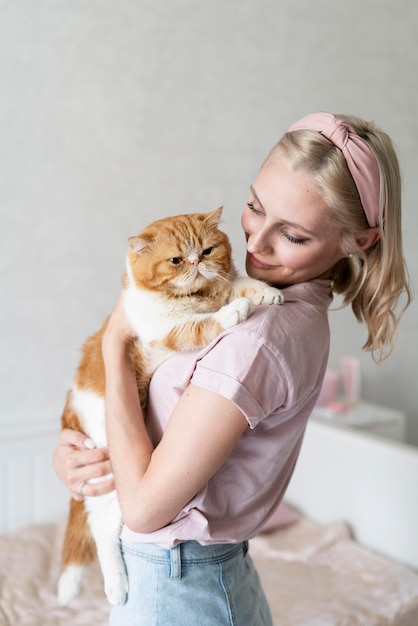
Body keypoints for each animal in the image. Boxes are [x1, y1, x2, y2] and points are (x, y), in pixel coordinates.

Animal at [56, 206, 284, 604]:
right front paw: (234, 312)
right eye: (177, 260)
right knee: (102, 530)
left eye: (207, 251)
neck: (198, 295)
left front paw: (268, 294)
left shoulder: (227, 281)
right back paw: (116, 587)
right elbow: (203, 324)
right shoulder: (167, 331)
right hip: (112, 482)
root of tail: (71, 407)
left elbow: (243, 283)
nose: (196, 262)